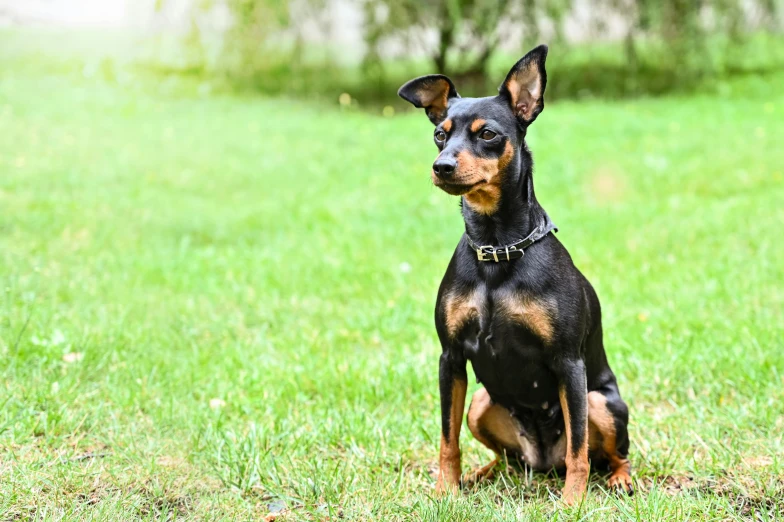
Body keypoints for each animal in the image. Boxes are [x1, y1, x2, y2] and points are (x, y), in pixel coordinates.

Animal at [398, 46, 632, 502]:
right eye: (440, 134)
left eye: (487, 134)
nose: (441, 166)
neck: (497, 249)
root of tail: (542, 461)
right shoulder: (450, 358)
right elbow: (447, 440)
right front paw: (445, 492)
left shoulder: (569, 364)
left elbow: (579, 448)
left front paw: (572, 503)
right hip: (481, 404)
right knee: (507, 457)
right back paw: (480, 474)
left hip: (600, 402)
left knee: (607, 454)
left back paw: (620, 478)